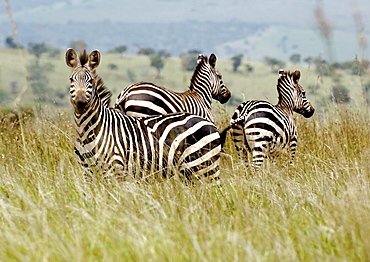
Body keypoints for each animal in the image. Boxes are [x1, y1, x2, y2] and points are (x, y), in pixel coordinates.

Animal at [66, 48, 221, 181]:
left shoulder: (114, 169)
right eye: (71, 79)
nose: (80, 102)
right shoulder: (88, 172)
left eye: (91, 80)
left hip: (204, 166)